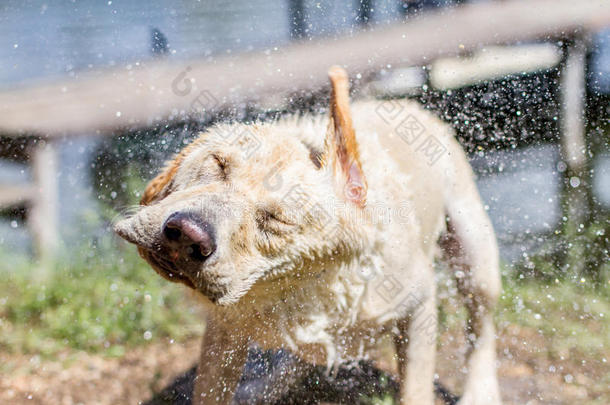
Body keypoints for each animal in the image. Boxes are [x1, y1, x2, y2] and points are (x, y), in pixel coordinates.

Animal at [114, 68, 498, 402]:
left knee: (481, 323)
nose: (186, 234)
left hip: (474, 252)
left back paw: (480, 391)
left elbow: (415, 388)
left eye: (277, 219)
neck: (302, 288)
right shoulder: (225, 331)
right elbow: (213, 388)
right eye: (218, 164)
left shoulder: (417, 305)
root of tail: (411, 104)